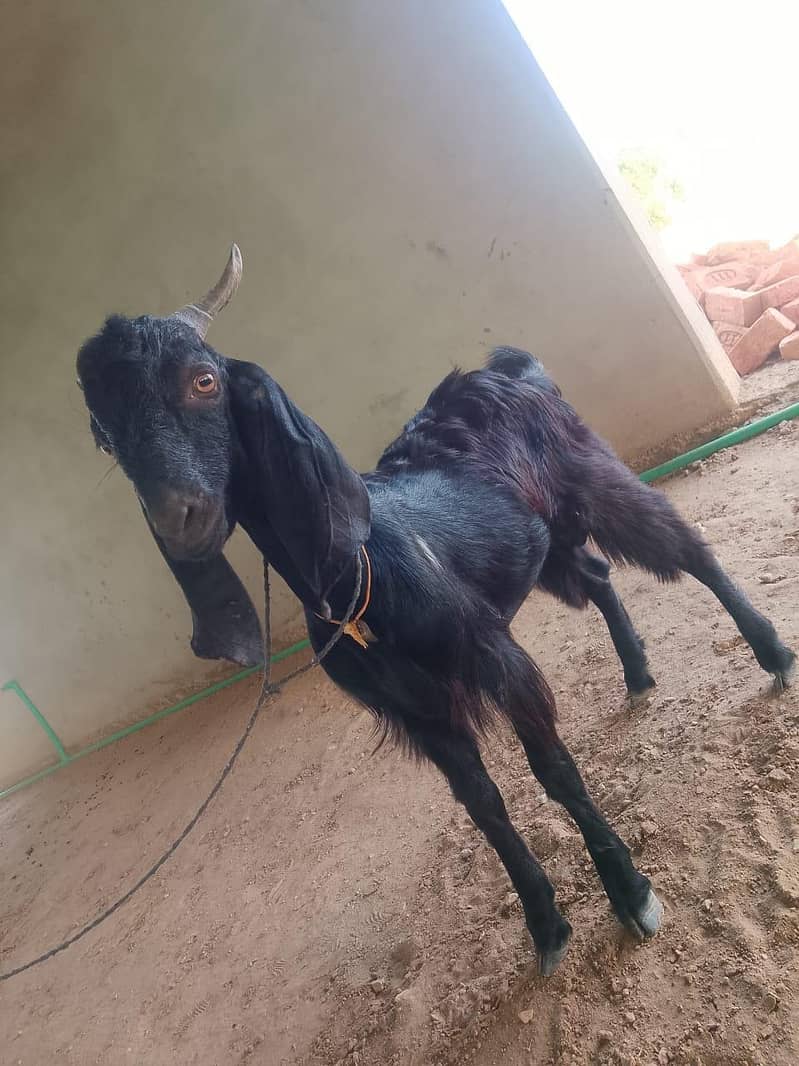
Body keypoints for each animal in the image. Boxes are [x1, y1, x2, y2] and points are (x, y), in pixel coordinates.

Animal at [76, 245, 795, 976]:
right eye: (103, 436)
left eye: (203, 381)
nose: (179, 517)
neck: (357, 578)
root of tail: (507, 369)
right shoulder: (418, 712)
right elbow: (482, 805)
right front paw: (545, 926)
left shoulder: (492, 655)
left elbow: (553, 771)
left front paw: (631, 894)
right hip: (538, 543)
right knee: (595, 575)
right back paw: (638, 673)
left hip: (591, 475)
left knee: (683, 546)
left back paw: (770, 652)